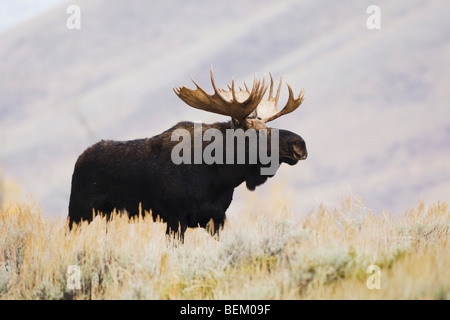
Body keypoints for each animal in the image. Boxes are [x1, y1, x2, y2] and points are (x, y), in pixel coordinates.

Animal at [68, 67, 308, 238]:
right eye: (256, 133)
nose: (300, 145)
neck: (220, 178)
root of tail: (79, 159)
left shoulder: (216, 220)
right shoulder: (175, 218)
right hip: (78, 212)